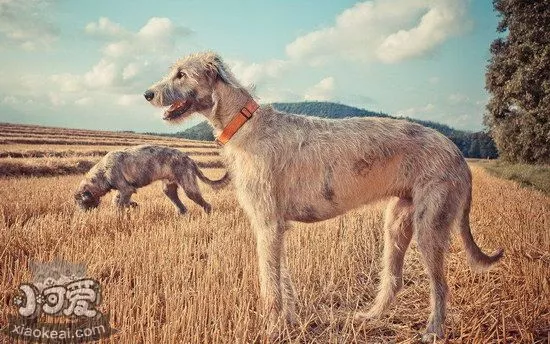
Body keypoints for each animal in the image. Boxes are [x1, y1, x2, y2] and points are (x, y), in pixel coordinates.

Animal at [74, 144, 230, 214]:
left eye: (81, 202)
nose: (81, 216)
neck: (102, 172)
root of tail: (190, 160)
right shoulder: (122, 189)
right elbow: (116, 201)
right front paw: (133, 205)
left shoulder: (126, 189)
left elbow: (119, 204)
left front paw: (119, 215)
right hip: (169, 189)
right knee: (182, 207)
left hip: (189, 188)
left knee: (206, 204)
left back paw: (208, 214)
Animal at [143, 52, 504, 340]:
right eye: (172, 71)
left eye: (181, 74)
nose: (147, 93)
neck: (244, 124)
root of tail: (458, 154)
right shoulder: (276, 226)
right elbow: (282, 281)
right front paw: (287, 323)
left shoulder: (267, 222)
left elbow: (269, 285)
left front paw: (271, 330)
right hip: (398, 219)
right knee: (394, 277)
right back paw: (371, 316)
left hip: (431, 223)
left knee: (441, 285)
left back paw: (433, 331)